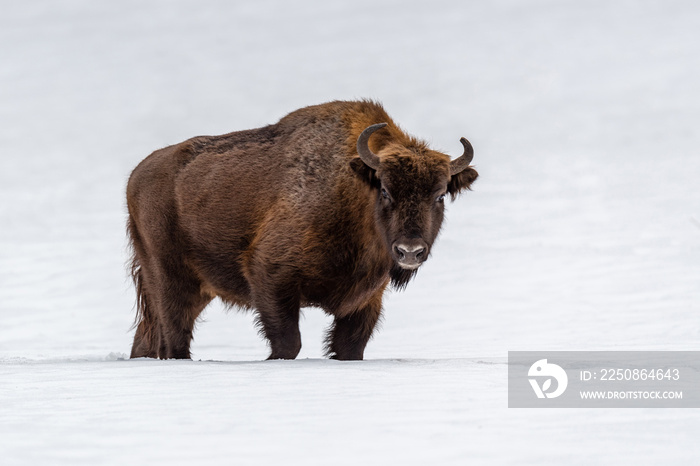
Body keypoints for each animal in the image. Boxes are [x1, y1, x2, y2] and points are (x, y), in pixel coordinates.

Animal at [126, 99, 478, 360]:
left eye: (440, 195)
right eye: (385, 191)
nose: (410, 251)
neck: (351, 189)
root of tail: (137, 176)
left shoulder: (366, 300)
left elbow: (349, 346)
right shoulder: (270, 275)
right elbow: (288, 343)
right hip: (170, 279)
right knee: (175, 337)